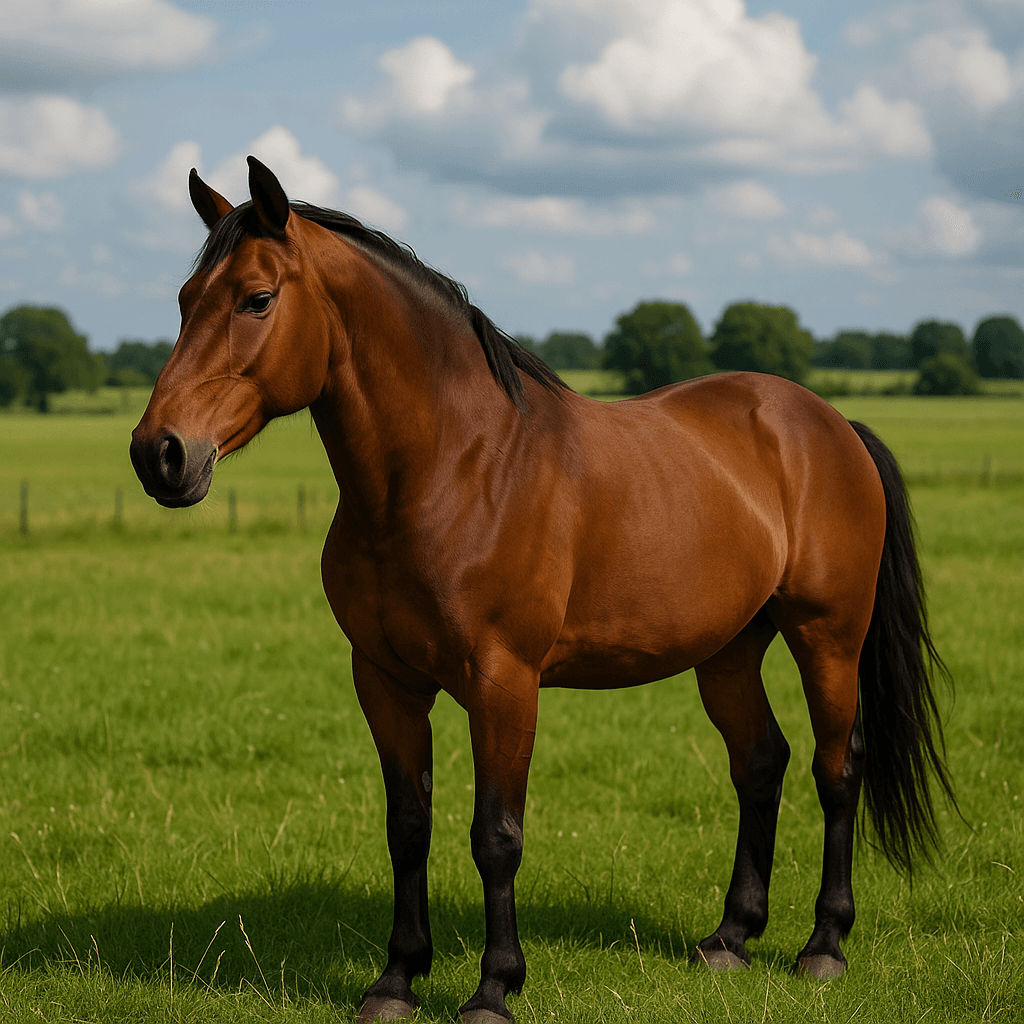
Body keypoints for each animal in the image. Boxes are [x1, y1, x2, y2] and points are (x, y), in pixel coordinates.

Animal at [130, 157, 955, 1023]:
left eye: (256, 298)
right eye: (186, 300)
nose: (160, 452)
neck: (454, 470)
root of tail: (828, 423)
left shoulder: (504, 683)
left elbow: (496, 834)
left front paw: (494, 987)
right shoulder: (386, 681)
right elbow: (408, 825)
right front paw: (396, 979)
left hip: (827, 638)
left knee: (838, 768)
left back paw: (824, 946)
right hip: (729, 652)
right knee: (761, 763)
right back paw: (730, 938)